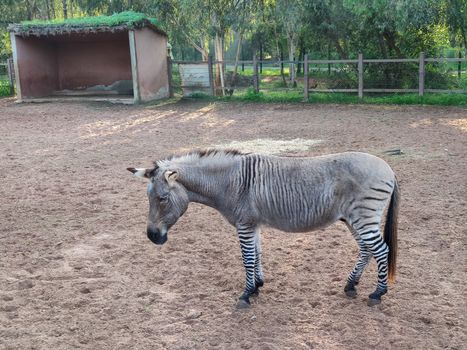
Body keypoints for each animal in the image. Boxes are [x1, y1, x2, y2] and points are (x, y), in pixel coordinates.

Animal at [127, 149, 398, 308]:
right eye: (148, 198)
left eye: (162, 199)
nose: (152, 237)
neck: (230, 183)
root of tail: (389, 168)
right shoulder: (253, 225)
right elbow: (256, 255)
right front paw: (257, 286)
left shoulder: (244, 224)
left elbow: (247, 258)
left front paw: (246, 294)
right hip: (354, 219)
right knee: (366, 250)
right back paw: (351, 285)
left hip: (363, 217)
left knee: (381, 250)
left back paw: (378, 293)